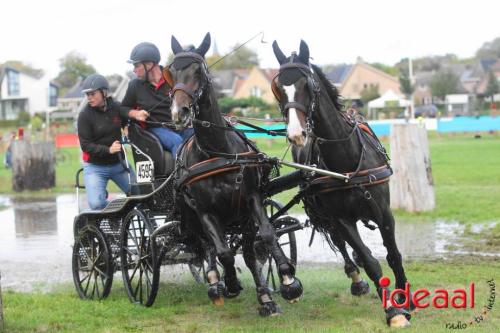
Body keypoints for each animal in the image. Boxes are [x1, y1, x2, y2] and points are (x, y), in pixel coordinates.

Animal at [166, 33, 302, 316]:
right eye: (171, 72)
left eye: (199, 71)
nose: (178, 112)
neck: (217, 153)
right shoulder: (205, 212)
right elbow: (224, 252)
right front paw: (230, 284)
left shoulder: (251, 201)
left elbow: (266, 237)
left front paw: (284, 282)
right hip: (194, 217)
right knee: (209, 248)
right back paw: (215, 283)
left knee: (244, 250)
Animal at [272, 40, 412, 326]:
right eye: (278, 88)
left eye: (307, 84)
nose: (296, 134)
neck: (346, 162)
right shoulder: (340, 218)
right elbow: (370, 262)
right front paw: (392, 312)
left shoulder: (384, 212)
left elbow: (393, 256)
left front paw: (405, 299)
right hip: (323, 211)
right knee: (340, 244)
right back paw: (356, 278)